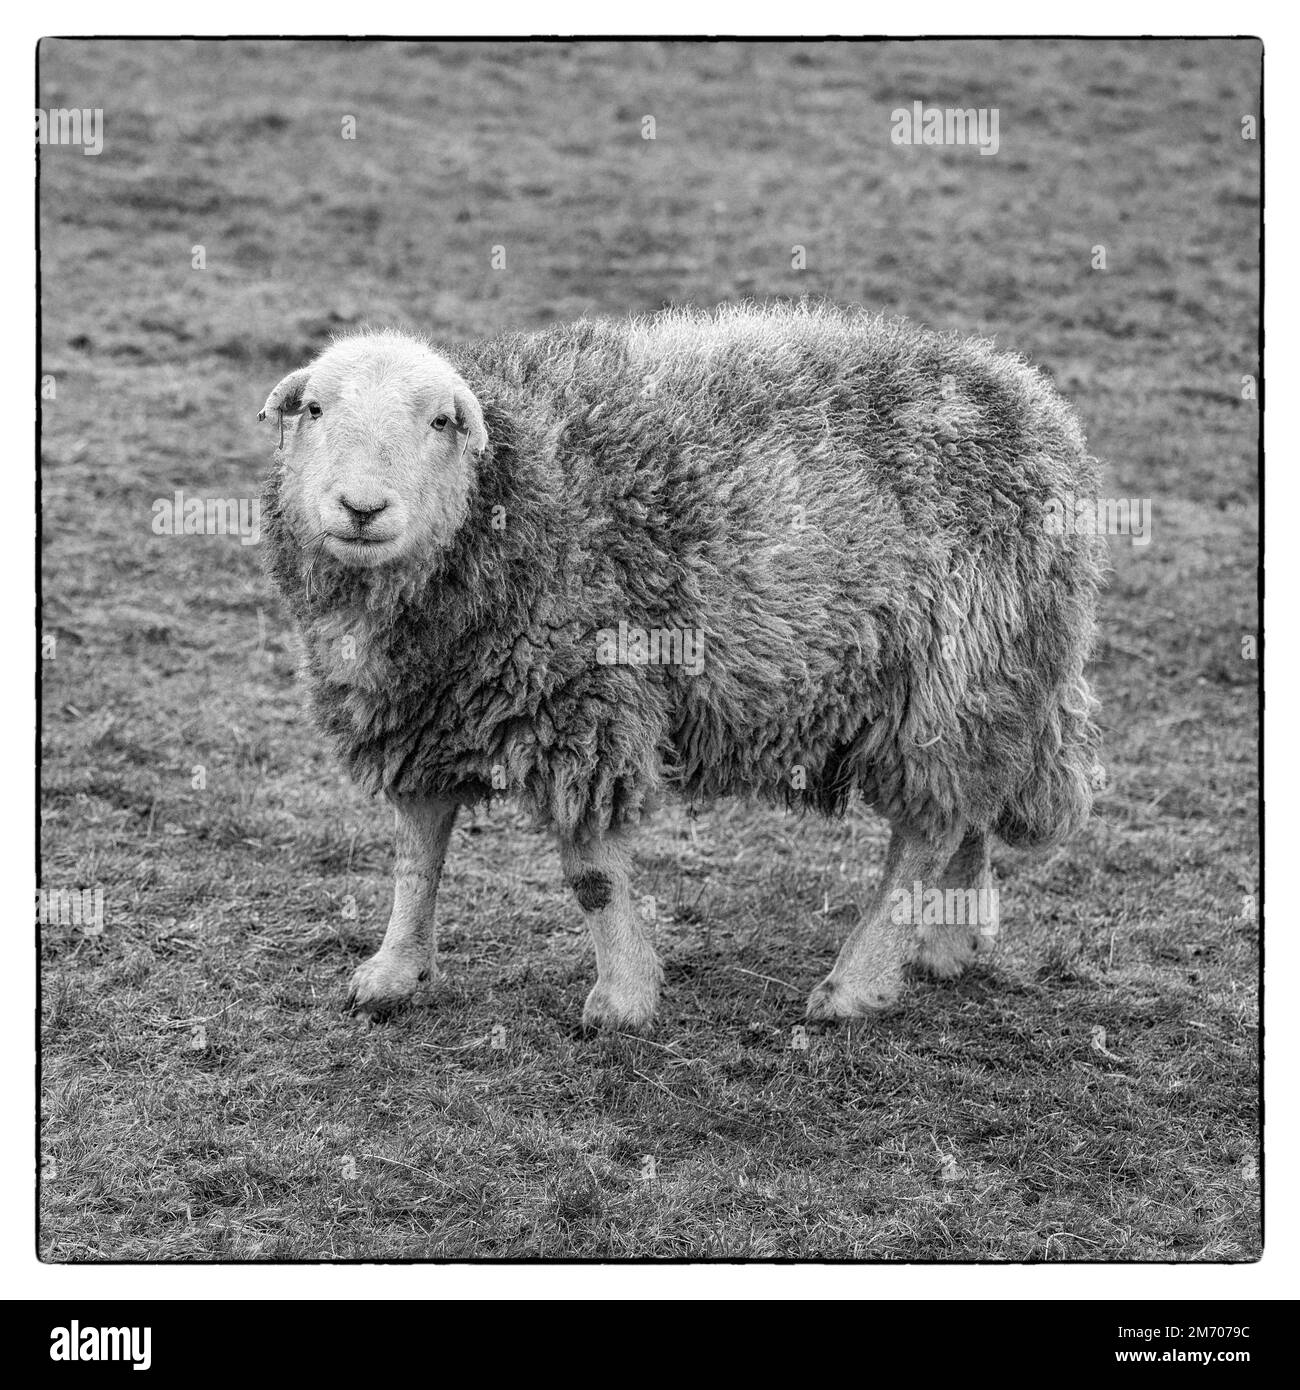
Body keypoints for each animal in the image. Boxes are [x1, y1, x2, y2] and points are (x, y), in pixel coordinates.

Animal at [258, 304, 1101, 1034]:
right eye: (314, 410)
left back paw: (856, 984)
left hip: (956, 671)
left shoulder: (582, 706)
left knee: (927, 831)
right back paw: (946, 945)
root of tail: (1033, 402)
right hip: (992, 686)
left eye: (439, 421)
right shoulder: (424, 714)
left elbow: (590, 874)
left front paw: (624, 998)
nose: (361, 508)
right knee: (969, 809)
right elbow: (417, 853)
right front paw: (393, 973)